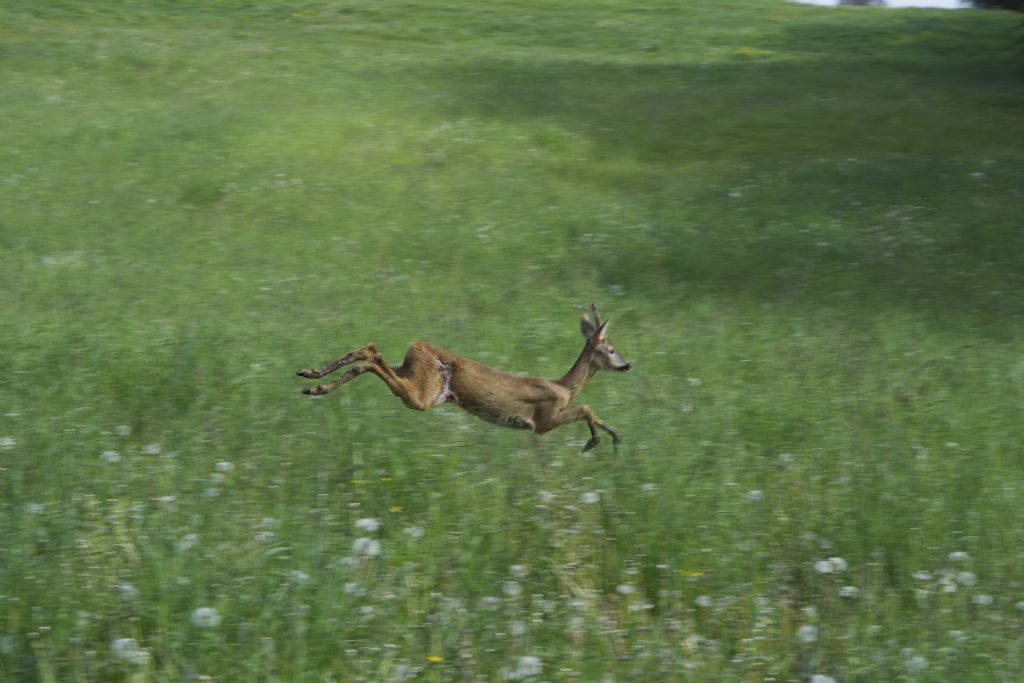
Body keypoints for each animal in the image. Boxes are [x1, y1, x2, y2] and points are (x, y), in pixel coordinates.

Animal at [296, 305, 630, 448]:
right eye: (611, 349)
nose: (627, 365)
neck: (565, 387)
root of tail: (417, 347)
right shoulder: (542, 421)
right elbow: (586, 408)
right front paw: (599, 440)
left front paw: (610, 437)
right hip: (423, 394)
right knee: (374, 358)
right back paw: (316, 386)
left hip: (416, 376)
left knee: (370, 349)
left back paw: (311, 377)